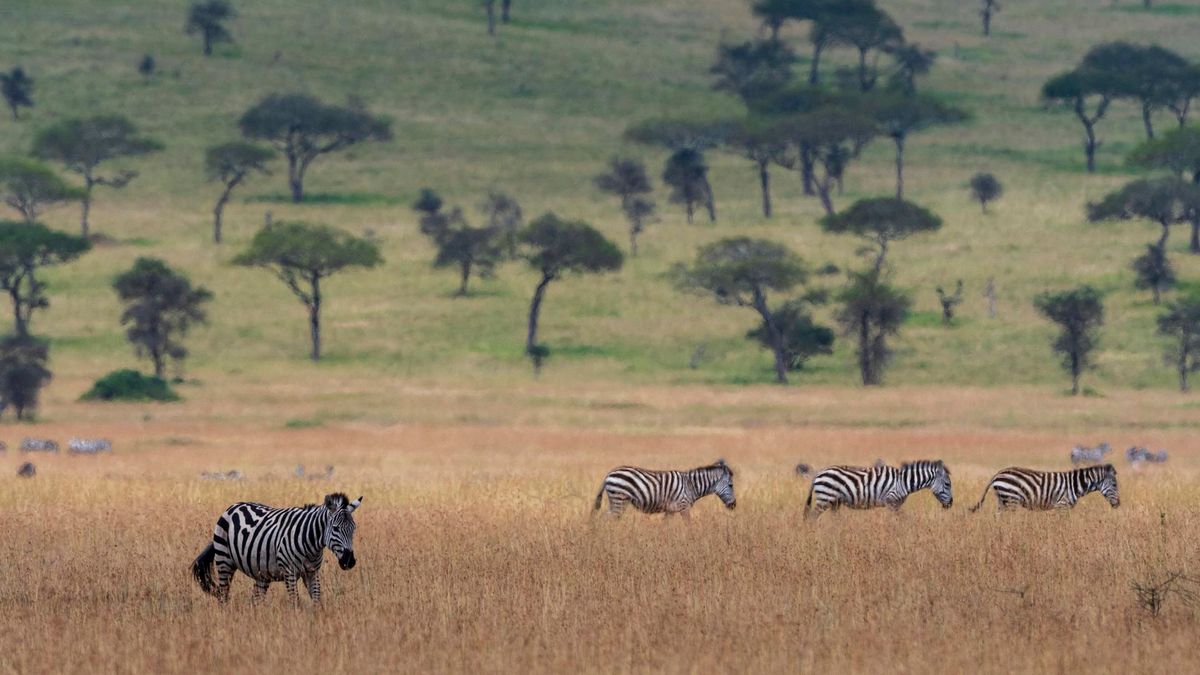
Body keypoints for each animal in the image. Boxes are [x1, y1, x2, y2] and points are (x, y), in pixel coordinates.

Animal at [188, 487, 360, 605]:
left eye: (354, 529)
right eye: (336, 528)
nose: (349, 561)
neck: (311, 544)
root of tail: (233, 506)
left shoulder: (312, 572)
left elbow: (317, 600)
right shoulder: (289, 572)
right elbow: (295, 603)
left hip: (261, 572)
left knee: (256, 600)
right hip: (224, 562)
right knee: (223, 596)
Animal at [588, 456, 729, 514]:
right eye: (731, 485)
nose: (733, 505)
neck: (691, 485)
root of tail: (608, 475)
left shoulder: (671, 510)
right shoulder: (684, 506)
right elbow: (689, 526)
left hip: (615, 501)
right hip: (619, 499)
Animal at [801, 458, 950, 516]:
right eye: (947, 484)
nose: (951, 504)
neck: (903, 482)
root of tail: (818, 474)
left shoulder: (895, 504)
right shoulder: (891, 501)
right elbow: (904, 519)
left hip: (834, 502)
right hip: (825, 499)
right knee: (812, 517)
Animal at [969, 461, 1118, 509]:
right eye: (1115, 485)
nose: (1119, 504)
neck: (1075, 484)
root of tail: (997, 474)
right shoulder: (1062, 505)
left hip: (1002, 500)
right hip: (1011, 500)